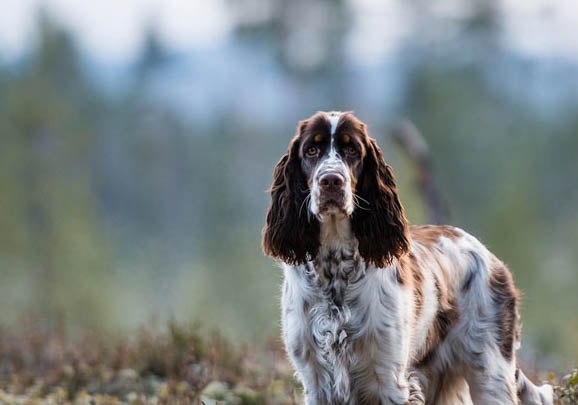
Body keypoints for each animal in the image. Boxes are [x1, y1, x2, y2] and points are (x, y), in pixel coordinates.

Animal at [262, 110, 552, 404]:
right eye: (311, 150)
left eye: (352, 150)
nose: (331, 180)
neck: (335, 271)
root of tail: (492, 259)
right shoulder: (316, 382)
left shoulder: (390, 379)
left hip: (490, 372)